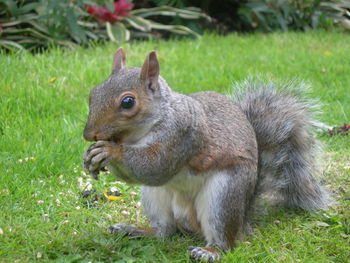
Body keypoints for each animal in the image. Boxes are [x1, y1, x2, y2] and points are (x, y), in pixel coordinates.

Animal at [82, 48, 330, 262]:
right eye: (92, 93)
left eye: (128, 102)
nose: (89, 135)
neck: (136, 136)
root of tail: (243, 219)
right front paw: (91, 158)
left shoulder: (181, 135)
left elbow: (155, 167)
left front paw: (110, 151)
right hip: (155, 197)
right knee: (165, 231)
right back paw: (134, 230)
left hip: (223, 196)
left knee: (225, 241)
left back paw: (209, 251)